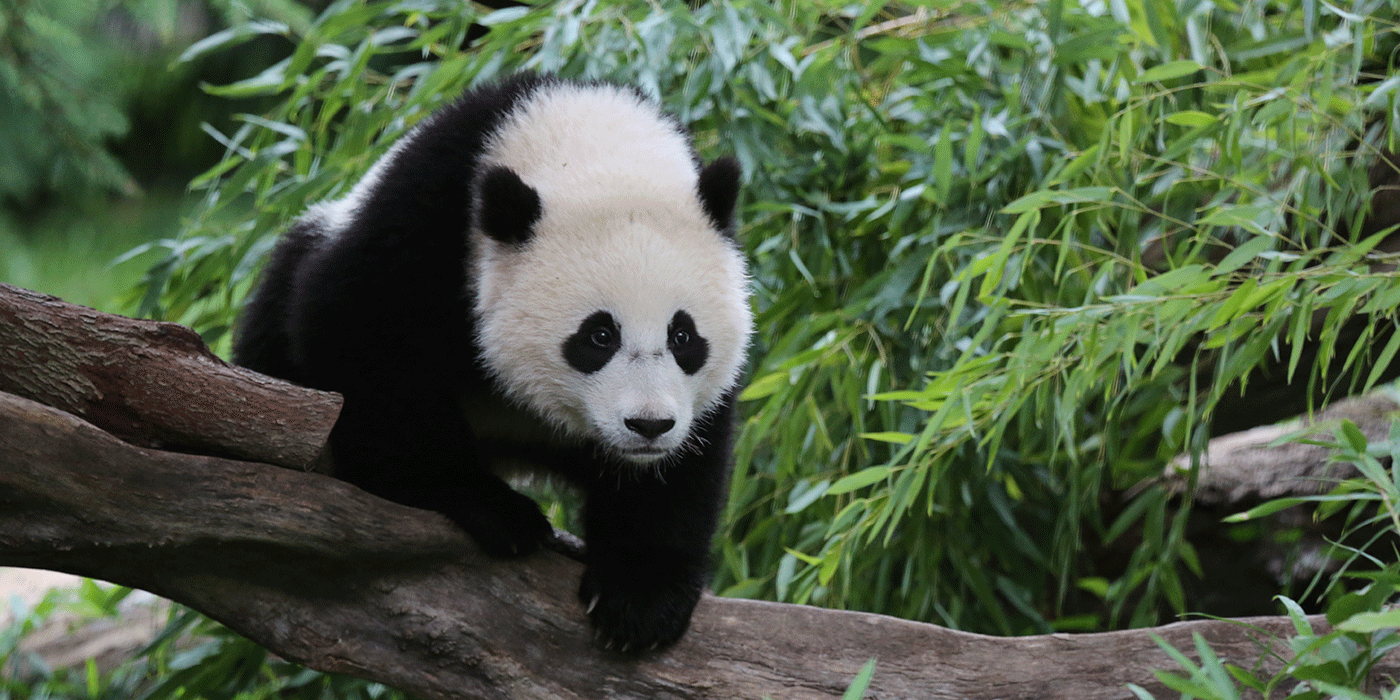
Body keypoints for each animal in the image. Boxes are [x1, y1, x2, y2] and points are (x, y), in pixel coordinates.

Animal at [233, 73, 750, 652]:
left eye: (683, 336)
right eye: (598, 336)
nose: (648, 425)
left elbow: (683, 467)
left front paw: (639, 601)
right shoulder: (424, 221)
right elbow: (365, 348)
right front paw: (497, 512)